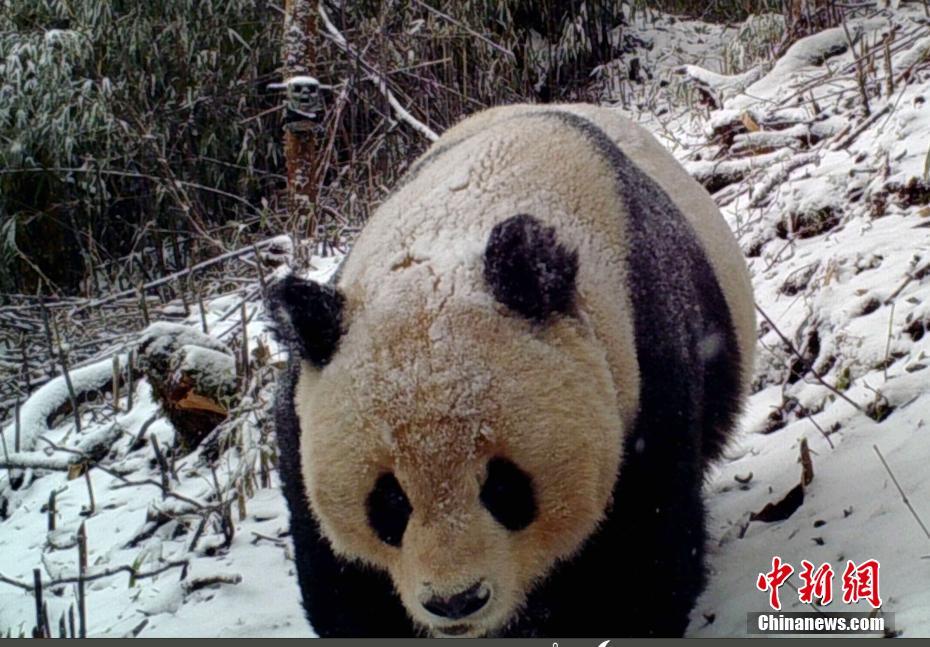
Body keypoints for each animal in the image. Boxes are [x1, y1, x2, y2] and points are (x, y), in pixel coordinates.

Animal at [266, 102, 752, 636]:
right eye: (390, 499)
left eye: (503, 486)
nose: (456, 601)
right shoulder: (303, 421)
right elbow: (342, 579)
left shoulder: (646, 374)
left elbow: (641, 554)